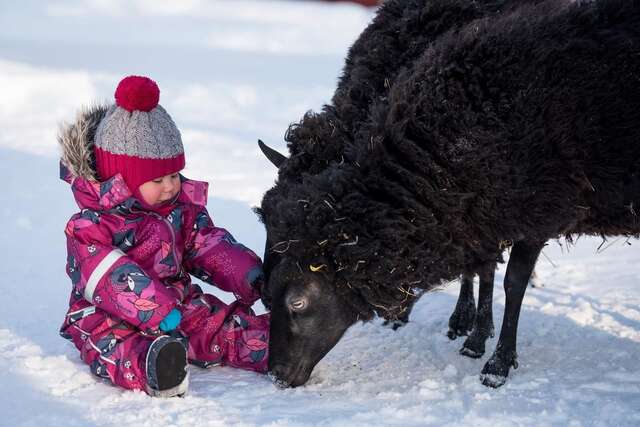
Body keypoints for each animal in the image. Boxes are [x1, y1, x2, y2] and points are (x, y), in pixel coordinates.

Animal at [256, 0, 640, 390]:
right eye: (268, 220)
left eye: (298, 303)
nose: (276, 374)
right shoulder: (476, 207)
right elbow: (481, 265)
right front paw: (471, 331)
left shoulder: (536, 208)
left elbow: (510, 281)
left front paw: (495, 361)